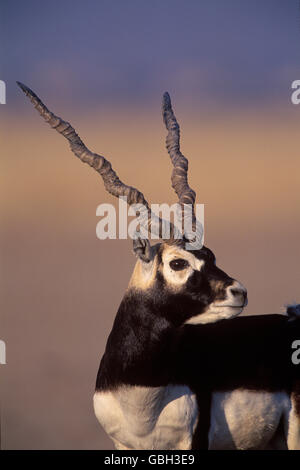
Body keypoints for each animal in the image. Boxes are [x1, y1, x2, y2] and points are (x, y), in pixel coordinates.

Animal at [18, 82, 300, 450]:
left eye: (210, 255)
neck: (141, 394)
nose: (239, 292)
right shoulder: (123, 444)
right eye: (178, 262)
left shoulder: (192, 442)